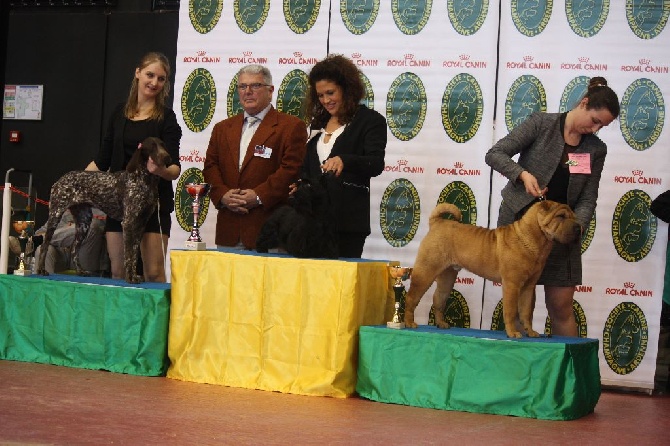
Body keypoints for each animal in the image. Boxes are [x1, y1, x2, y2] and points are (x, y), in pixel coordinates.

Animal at [404, 200, 584, 336]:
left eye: (574, 217)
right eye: (560, 216)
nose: (578, 227)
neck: (535, 239)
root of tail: (437, 222)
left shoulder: (528, 286)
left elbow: (525, 312)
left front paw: (531, 332)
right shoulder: (512, 284)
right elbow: (511, 311)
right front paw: (513, 333)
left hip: (447, 276)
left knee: (439, 299)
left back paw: (441, 324)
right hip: (426, 271)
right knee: (412, 297)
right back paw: (409, 323)